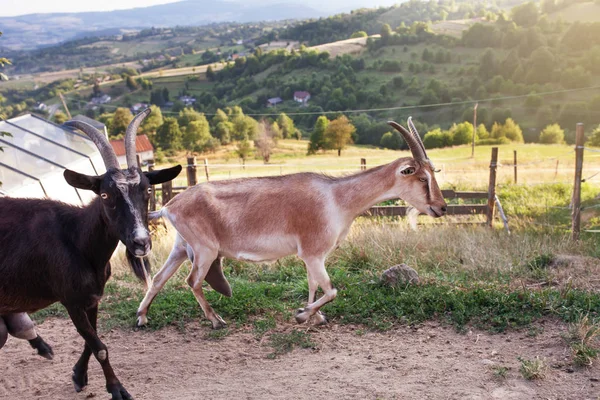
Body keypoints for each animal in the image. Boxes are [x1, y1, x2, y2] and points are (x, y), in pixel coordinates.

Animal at [0, 108, 180, 398]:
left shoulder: (92, 297)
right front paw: (117, 388)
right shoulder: (70, 299)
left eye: (147, 190)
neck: (76, 239)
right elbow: (100, 348)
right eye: (105, 194)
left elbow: (92, 340)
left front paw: (79, 375)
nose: (141, 241)